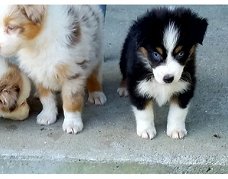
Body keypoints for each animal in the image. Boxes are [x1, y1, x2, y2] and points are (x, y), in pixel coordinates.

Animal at [0, 5, 107, 134]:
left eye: (11, 27)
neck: (36, 44)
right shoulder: (39, 71)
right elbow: (46, 98)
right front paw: (47, 115)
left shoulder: (72, 71)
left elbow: (71, 100)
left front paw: (72, 123)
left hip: (96, 51)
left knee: (95, 73)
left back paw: (97, 94)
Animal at [117, 7, 208, 140]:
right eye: (156, 54)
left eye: (181, 53)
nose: (168, 78)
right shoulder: (138, 85)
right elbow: (144, 112)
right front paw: (146, 130)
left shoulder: (186, 85)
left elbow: (178, 112)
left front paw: (176, 130)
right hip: (124, 57)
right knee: (124, 74)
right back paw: (123, 88)